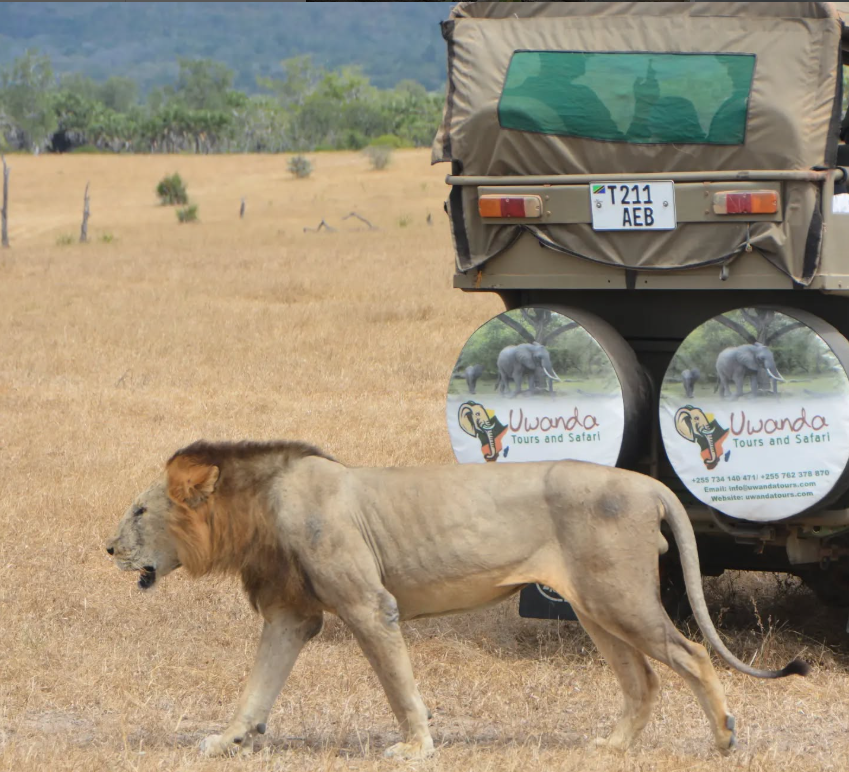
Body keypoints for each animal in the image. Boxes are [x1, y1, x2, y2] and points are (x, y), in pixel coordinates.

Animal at [106, 439, 809, 759]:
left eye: (139, 510)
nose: (108, 548)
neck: (259, 509)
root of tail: (646, 485)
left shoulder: (369, 605)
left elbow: (397, 683)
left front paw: (415, 747)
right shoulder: (292, 613)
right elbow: (257, 685)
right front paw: (227, 739)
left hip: (619, 598)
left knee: (691, 655)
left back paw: (723, 738)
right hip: (594, 606)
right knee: (643, 679)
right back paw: (611, 747)